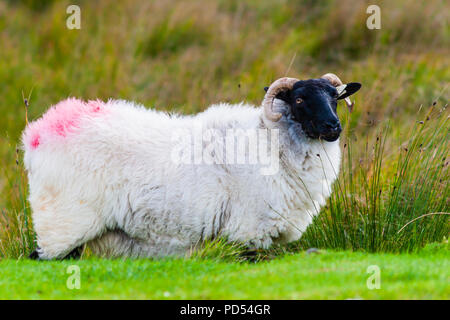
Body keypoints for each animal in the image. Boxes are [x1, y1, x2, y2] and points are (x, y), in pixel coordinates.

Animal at [23, 73, 362, 260]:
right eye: (300, 100)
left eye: (335, 97)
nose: (333, 127)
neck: (271, 142)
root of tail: (42, 131)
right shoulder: (247, 230)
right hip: (63, 220)